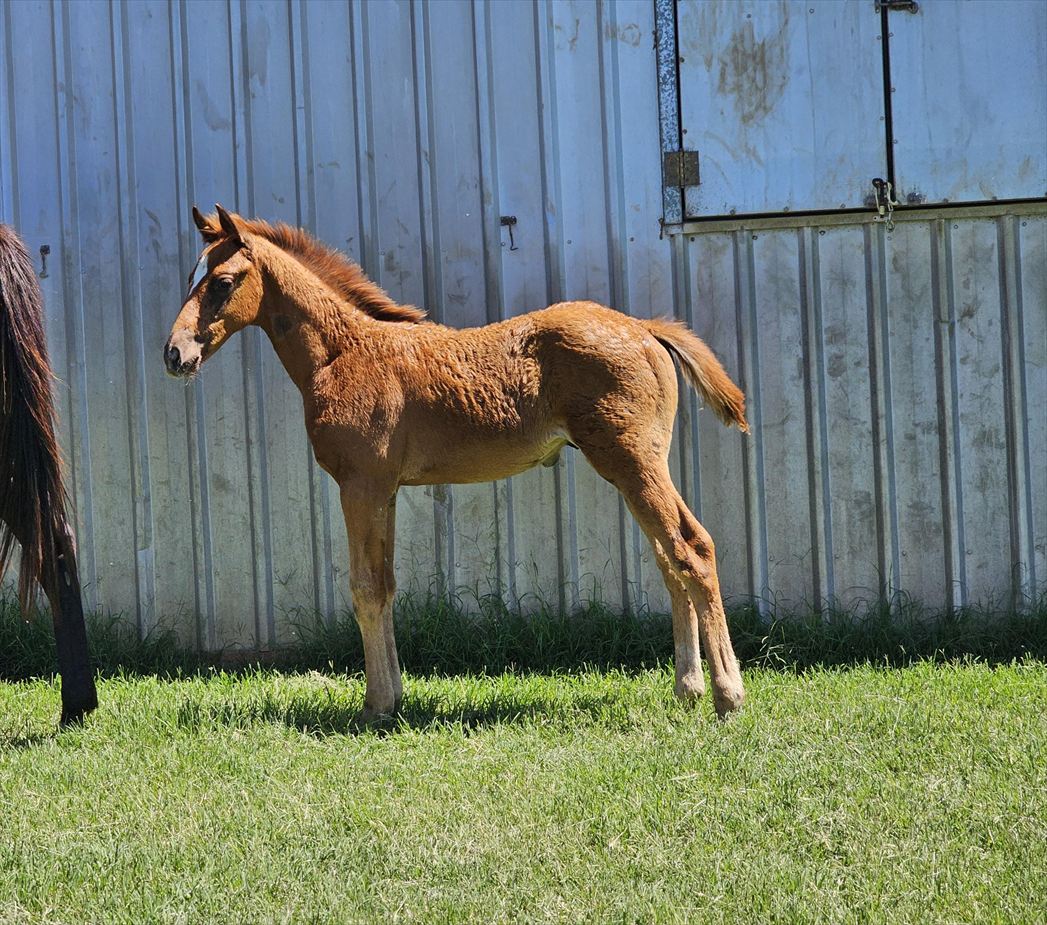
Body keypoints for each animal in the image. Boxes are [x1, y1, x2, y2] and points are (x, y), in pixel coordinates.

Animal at [165, 205, 749, 720]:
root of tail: (646, 328)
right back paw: (688, 688)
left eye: (222, 282)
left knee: (693, 549)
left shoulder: (361, 485)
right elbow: (387, 583)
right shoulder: (386, 489)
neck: (343, 354)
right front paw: (394, 696)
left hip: (632, 463)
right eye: (192, 275)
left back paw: (727, 695)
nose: (174, 354)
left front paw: (376, 705)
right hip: (636, 468)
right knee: (670, 560)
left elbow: (365, 587)